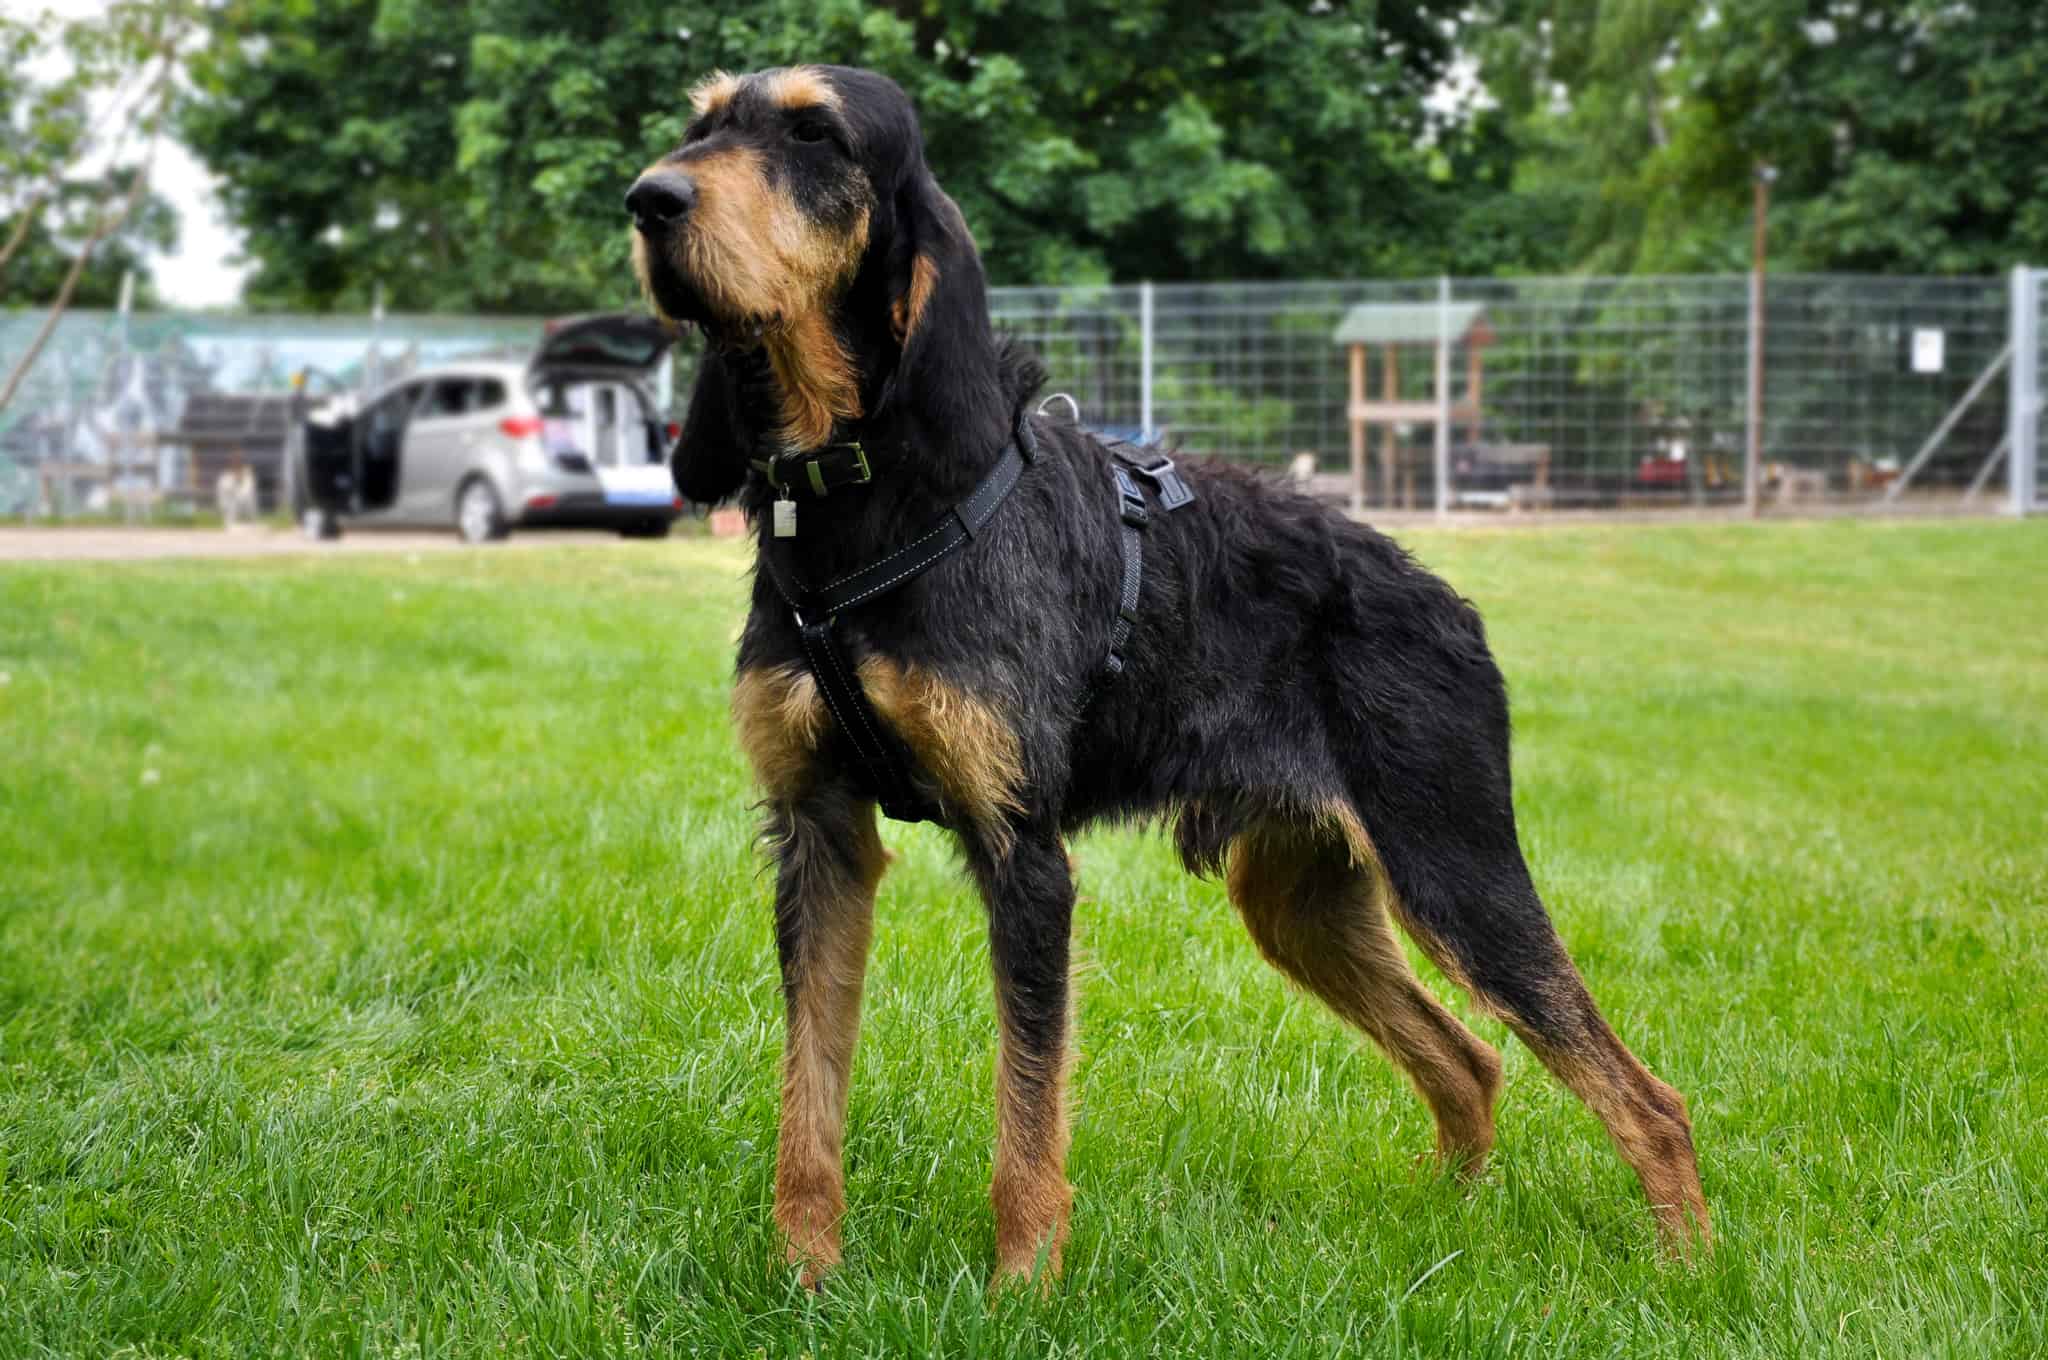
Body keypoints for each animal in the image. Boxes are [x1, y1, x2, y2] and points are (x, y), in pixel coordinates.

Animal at [626, 63, 1712, 1286]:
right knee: (1470, 1061)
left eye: (816, 134)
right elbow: (806, 1107)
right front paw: (806, 1281)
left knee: (1647, 1100)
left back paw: (1685, 1272)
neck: (855, 502)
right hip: (1299, 904)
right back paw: (1448, 1227)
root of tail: (1448, 606)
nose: (648, 200)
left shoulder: (1024, 857)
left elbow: (1027, 1119)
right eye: (704, 120)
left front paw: (1021, 1293)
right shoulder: (819, 839)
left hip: (1454, 869)